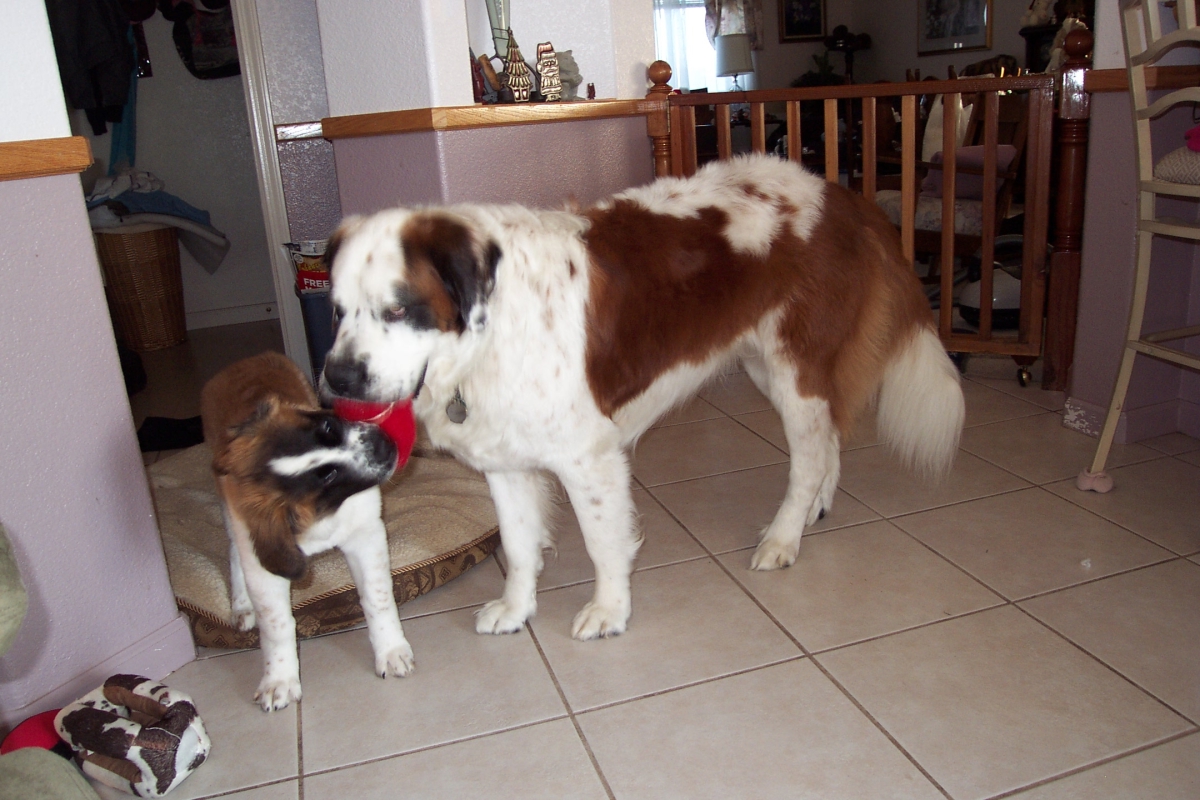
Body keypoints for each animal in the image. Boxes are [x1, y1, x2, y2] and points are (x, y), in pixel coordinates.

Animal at [200, 352, 414, 711]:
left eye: (328, 427)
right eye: (327, 475)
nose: (383, 445)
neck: (323, 516)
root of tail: (242, 362)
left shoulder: (365, 534)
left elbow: (378, 597)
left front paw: (391, 649)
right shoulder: (263, 549)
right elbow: (276, 624)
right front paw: (279, 679)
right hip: (231, 512)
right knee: (234, 550)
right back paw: (242, 605)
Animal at [320, 154, 965, 641]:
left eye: (397, 309)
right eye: (338, 311)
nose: (339, 378)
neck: (488, 330)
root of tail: (840, 194)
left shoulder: (589, 458)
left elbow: (604, 542)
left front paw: (609, 610)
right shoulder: (504, 458)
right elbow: (519, 543)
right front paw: (517, 608)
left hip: (793, 369)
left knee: (807, 458)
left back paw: (784, 538)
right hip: (766, 367)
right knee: (827, 440)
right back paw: (814, 511)